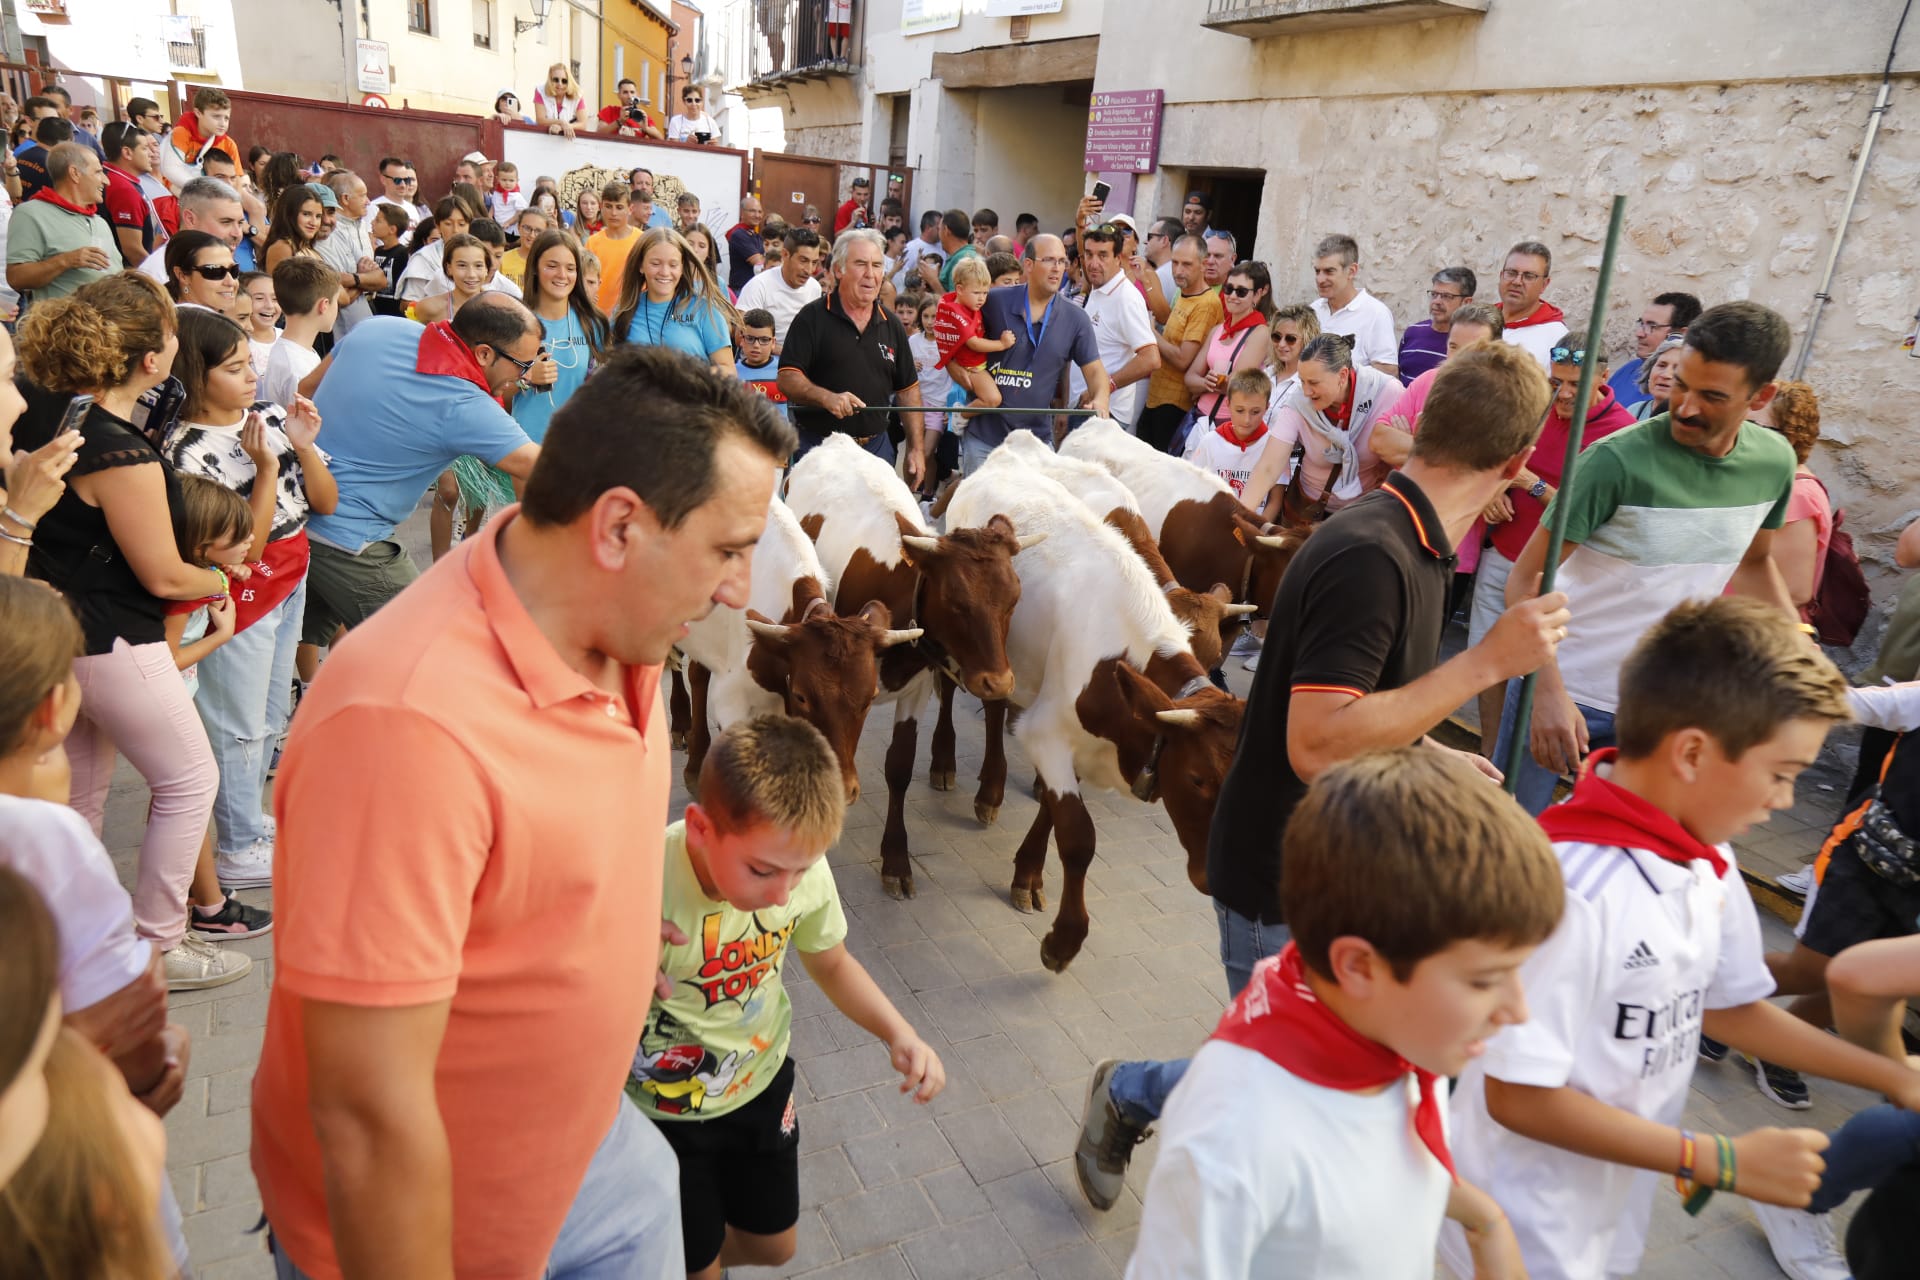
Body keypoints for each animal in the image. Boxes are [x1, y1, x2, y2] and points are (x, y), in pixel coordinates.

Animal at [787, 435, 1044, 898]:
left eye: (1014, 598)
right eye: (957, 602)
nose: (999, 681)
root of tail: (836, 439)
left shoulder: (918, 685)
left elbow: (900, 765)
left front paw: (895, 859)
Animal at [944, 449, 1244, 971]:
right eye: (1196, 780)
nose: (1213, 881)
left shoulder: (1085, 744)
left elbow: (1052, 810)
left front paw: (1028, 874)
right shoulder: (1046, 733)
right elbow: (1079, 837)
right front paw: (1064, 940)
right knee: (990, 705)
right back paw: (983, 787)